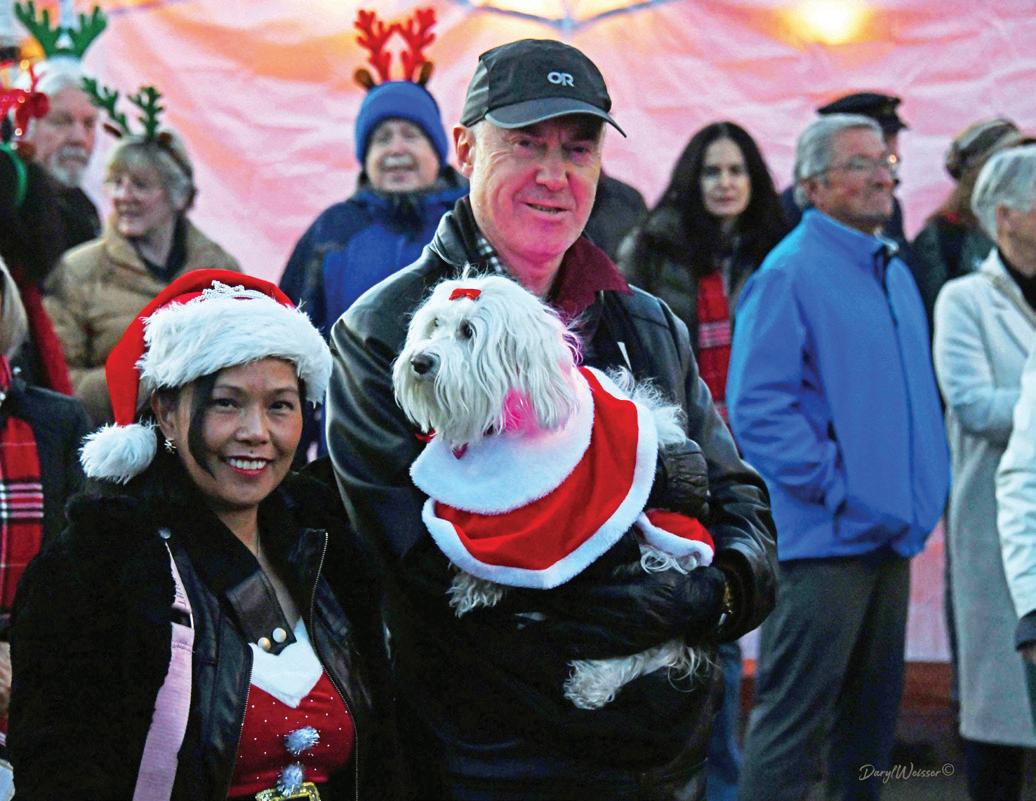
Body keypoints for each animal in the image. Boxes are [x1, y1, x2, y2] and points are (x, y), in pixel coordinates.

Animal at [392, 274, 714, 709]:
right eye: (434, 325)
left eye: (468, 331)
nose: (420, 362)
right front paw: (473, 584)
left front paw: (481, 585)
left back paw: (593, 681)